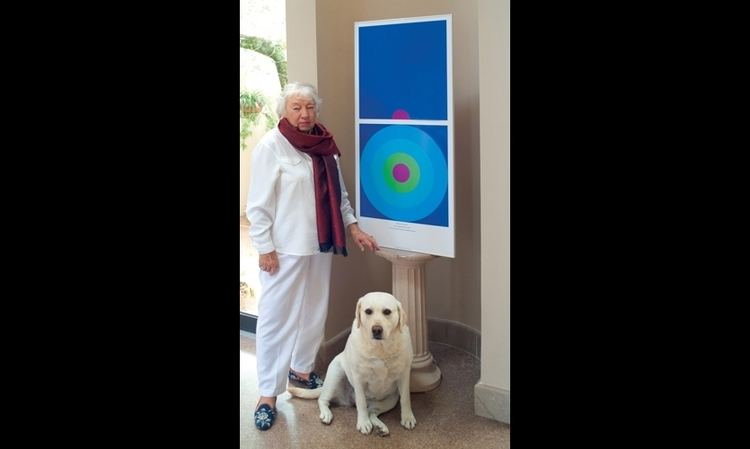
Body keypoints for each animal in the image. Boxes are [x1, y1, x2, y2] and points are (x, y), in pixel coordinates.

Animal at [288, 290, 418, 434]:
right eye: (368, 311)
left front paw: (407, 417)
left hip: (390, 400)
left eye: (387, 312)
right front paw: (363, 423)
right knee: (323, 399)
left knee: (372, 412)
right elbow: (361, 403)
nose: (376, 330)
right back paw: (326, 414)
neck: (379, 348)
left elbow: (405, 399)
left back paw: (380, 427)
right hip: (335, 375)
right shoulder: (359, 379)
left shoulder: (404, 376)